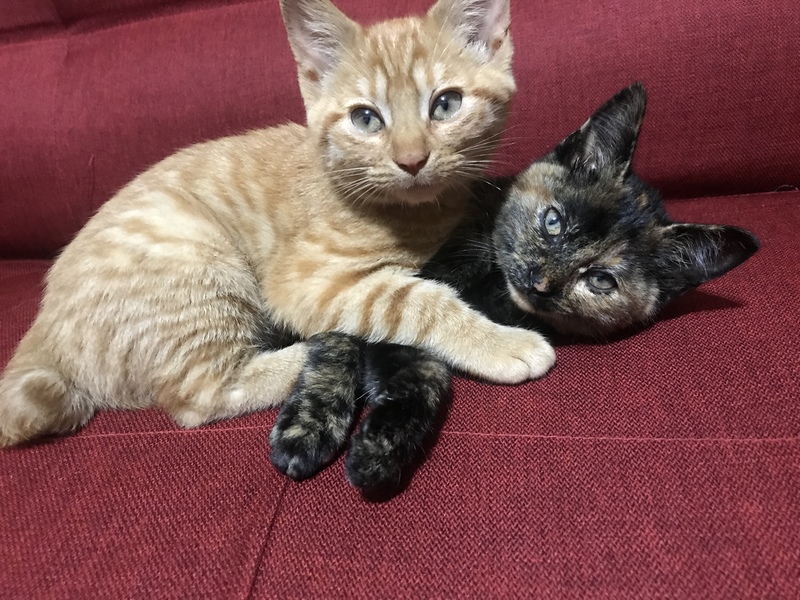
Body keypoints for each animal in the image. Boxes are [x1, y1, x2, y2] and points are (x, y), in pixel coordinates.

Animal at [0, 0, 558, 448]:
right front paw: (500, 343)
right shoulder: (305, 279)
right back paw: (312, 353)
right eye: (366, 119)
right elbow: (416, 301)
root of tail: (42, 327)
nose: (412, 159)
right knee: (202, 397)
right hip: (197, 260)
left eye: (446, 104)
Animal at [269, 83, 760, 491]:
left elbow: (426, 368)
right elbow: (343, 343)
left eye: (600, 280)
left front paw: (378, 450)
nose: (540, 282)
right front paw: (309, 429)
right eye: (553, 221)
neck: (495, 288)